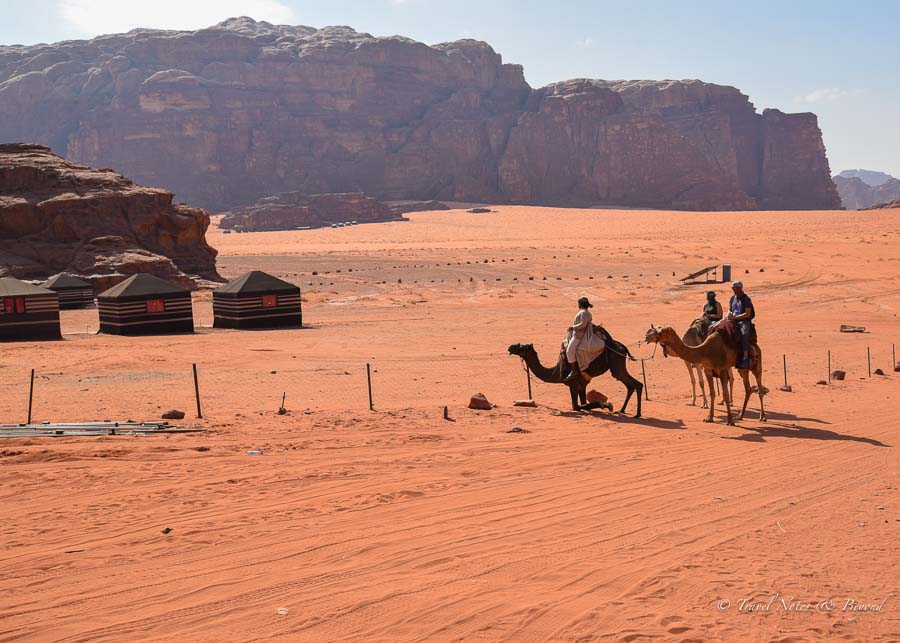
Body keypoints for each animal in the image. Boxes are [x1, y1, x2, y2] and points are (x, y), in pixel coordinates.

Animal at [508, 327, 643, 417]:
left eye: (522, 347)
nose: (510, 347)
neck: (556, 372)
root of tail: (623, 347)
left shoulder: (572, 384)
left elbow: (577, 406)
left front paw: (607, 405)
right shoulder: (582, 384)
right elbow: (583, 404)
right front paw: (605, 405)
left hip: (616, 364)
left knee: (637, 384)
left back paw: (637, 414)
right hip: (618, 366)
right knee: (630, 386)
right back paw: (623, 410)